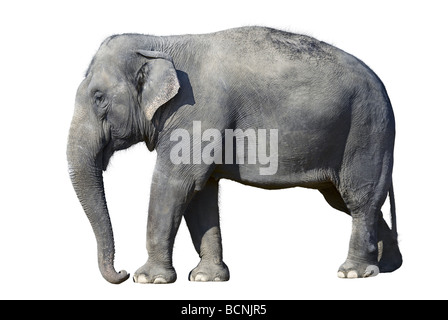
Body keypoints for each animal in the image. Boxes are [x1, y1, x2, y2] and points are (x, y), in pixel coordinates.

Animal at [66, 26, 402, 284]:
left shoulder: (195, 111)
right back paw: (386, 266)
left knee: (359, 196)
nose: (120, 272)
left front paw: (149, 279)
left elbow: (176, 183)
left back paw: (353, 273)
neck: (159, 42)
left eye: (99, 98)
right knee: (349, 199)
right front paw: (206, 278)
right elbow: (200, 194)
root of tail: (382, 85)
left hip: (367, 129)